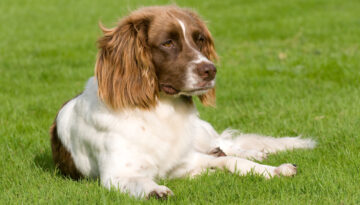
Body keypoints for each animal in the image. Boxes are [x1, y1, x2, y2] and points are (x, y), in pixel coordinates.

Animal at [50, 6, 316, 199]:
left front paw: (274, 170)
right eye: (167, 43)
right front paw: (155, 189)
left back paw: (257, 152)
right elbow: (142, 182)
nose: (210, 70)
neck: (159, 110)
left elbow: (233, 160)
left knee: (226, 144)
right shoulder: (117, 174)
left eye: (199, 40)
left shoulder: (185, 159)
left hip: (200, 133)